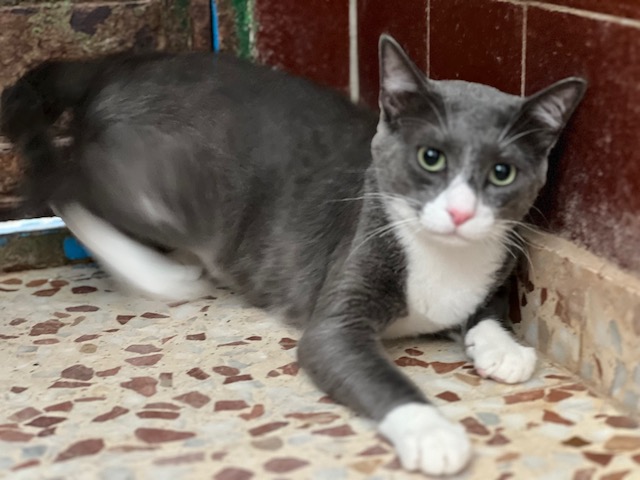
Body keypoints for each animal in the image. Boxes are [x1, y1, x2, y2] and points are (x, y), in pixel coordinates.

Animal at [1, 35, 586, 476]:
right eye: (431, 158)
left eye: (502, 172)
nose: (461, 213)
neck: (440, 253)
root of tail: (116, 63)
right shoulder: (343, 293)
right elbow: (368, 367)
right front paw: (434, 432)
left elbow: (484, 310)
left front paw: (504, 348)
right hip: (171, 187)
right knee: (59, 184)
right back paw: (162, 270)